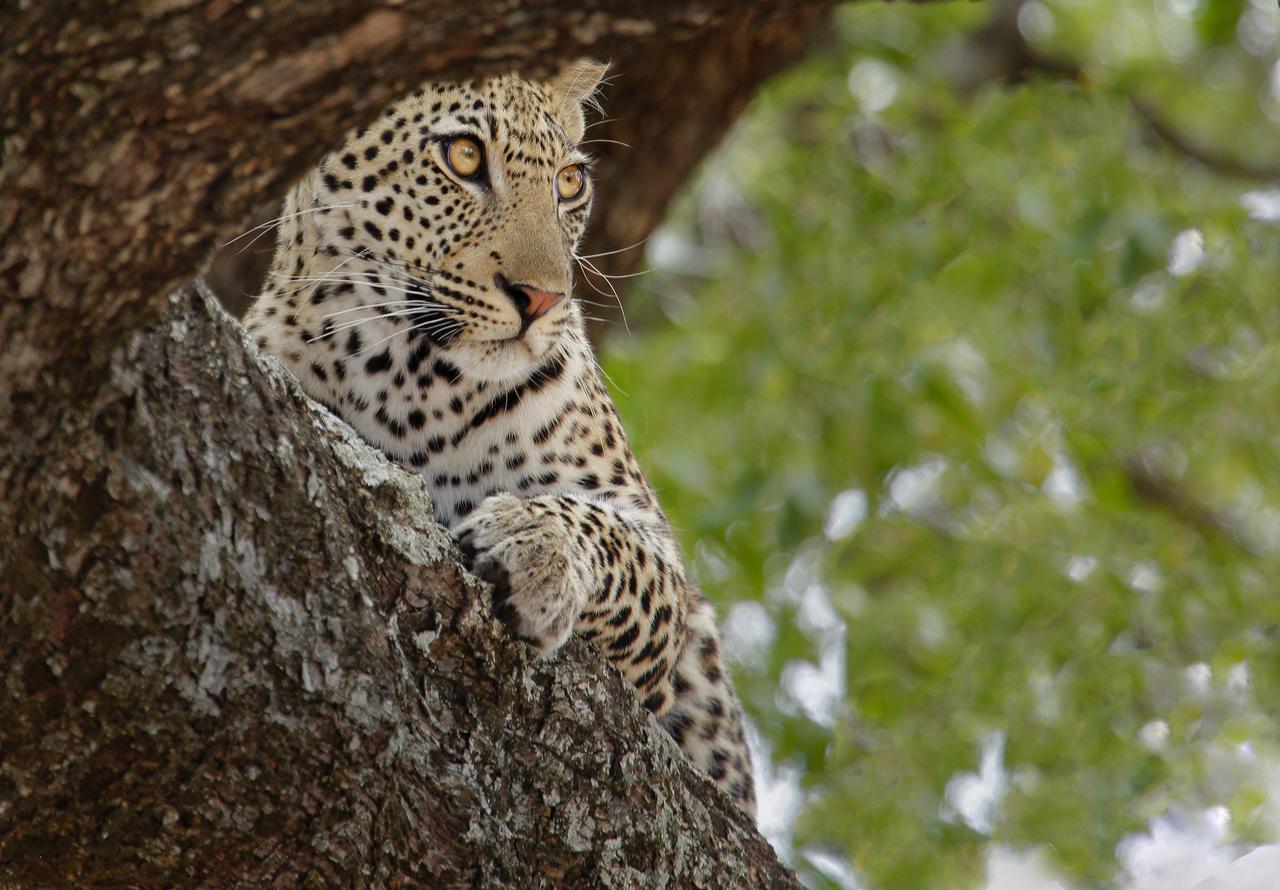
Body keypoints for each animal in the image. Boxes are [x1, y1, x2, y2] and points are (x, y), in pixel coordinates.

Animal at [241, 59, 757, 819]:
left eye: (569, 183)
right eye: (463, 157)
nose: (541, 299)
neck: (410, 381)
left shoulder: (656, 554)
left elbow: (612, 541)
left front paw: (535, 549)